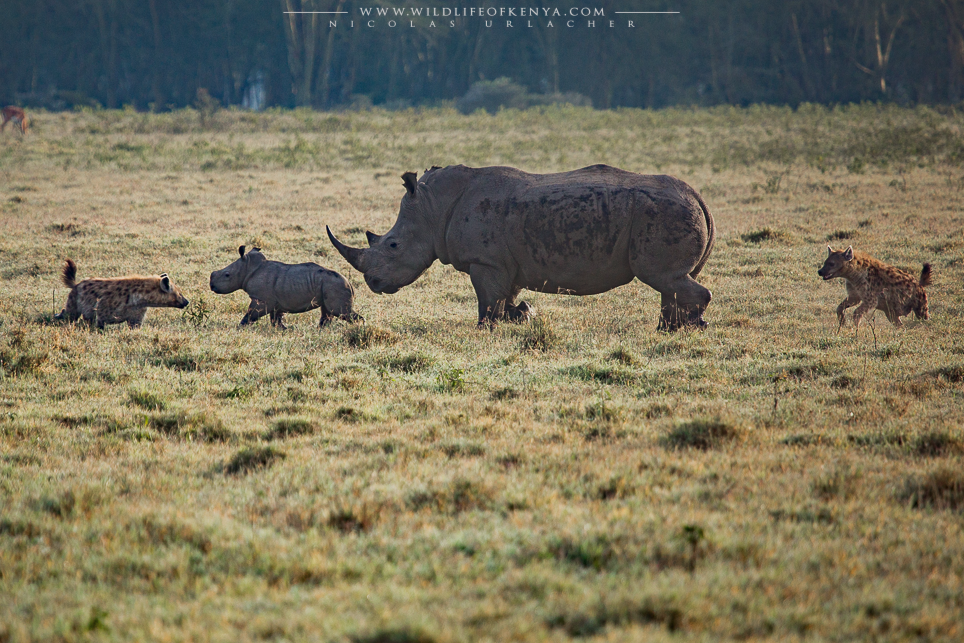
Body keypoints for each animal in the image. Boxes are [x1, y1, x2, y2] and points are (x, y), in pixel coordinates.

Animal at [209, 246, 362, 329]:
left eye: (227, 275)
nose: (211, 285)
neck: (247, 268)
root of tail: (349, 283)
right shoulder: (273, 302)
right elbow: (275, 320)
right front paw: (285, 329)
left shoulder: (262, 300)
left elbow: (250, 315)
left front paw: (240, 327)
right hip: (329, 285)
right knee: (327, 312)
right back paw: (320, 330)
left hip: (335, 285)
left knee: (340, 312)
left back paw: (360, 326)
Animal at [327, 164, 715, 330]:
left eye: (393, 245)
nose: (373, 284)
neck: (432, 208)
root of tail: (700, 197)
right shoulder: (505, 264)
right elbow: (506, 298)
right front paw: (523, 314)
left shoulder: (486, 262)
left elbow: (488, 302)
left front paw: (485, 329)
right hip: (670, 212)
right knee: (670, 281)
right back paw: (670, 328)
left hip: (662, 214)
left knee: (662, 276)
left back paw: (686, 328)